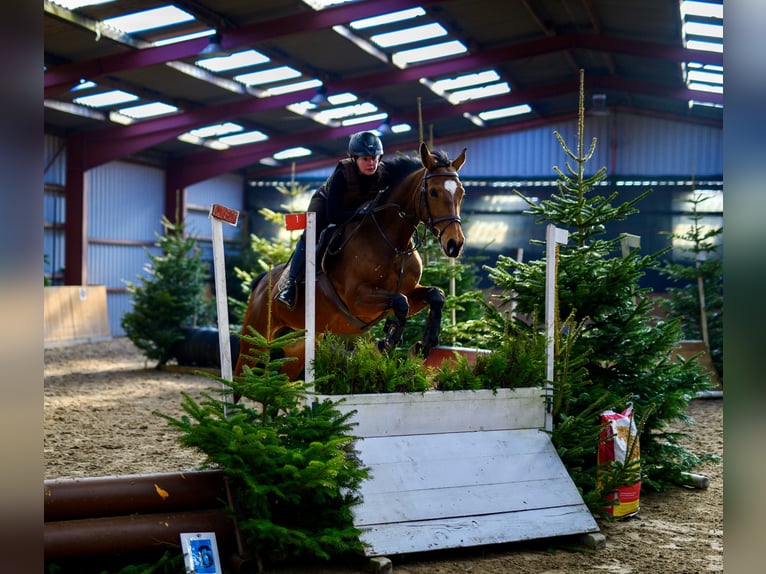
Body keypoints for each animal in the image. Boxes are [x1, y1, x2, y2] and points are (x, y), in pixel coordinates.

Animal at [234, 141, 467, 381]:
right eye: (433, 192)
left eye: (461, 192)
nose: (454, 244)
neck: (394, 244)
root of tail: (262, 280)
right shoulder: (357, 298)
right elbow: (400, 301)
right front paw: (388, 341)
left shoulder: (410, 292)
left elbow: (435, 295)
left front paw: (423, 344)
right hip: (254, 341)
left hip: (297, 346)